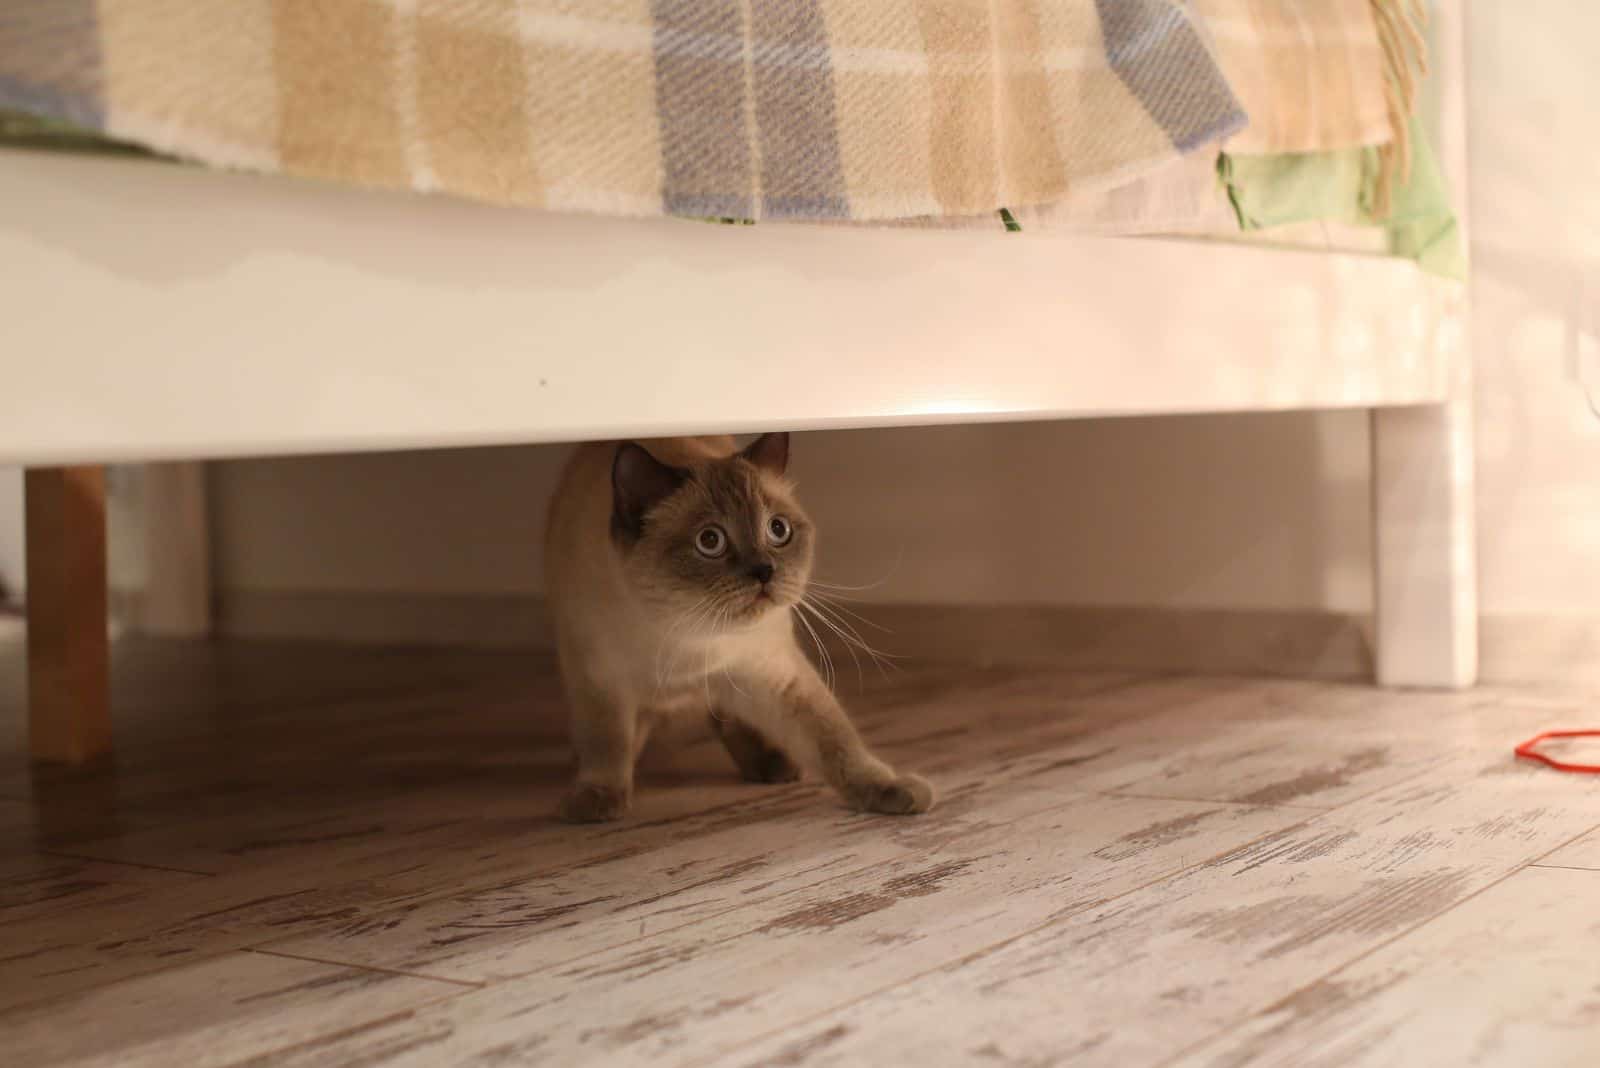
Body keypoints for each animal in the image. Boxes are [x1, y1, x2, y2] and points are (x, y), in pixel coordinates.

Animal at [544, 428, 934, 824]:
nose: (764, 571)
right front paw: (596, 800)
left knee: (730, 720)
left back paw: (772, 764)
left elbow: (836, 739)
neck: (689, 636)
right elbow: (606, 742)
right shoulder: (599, 681)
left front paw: (891, 789)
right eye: (710, 541)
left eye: (778, 529)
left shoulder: (776, 675)